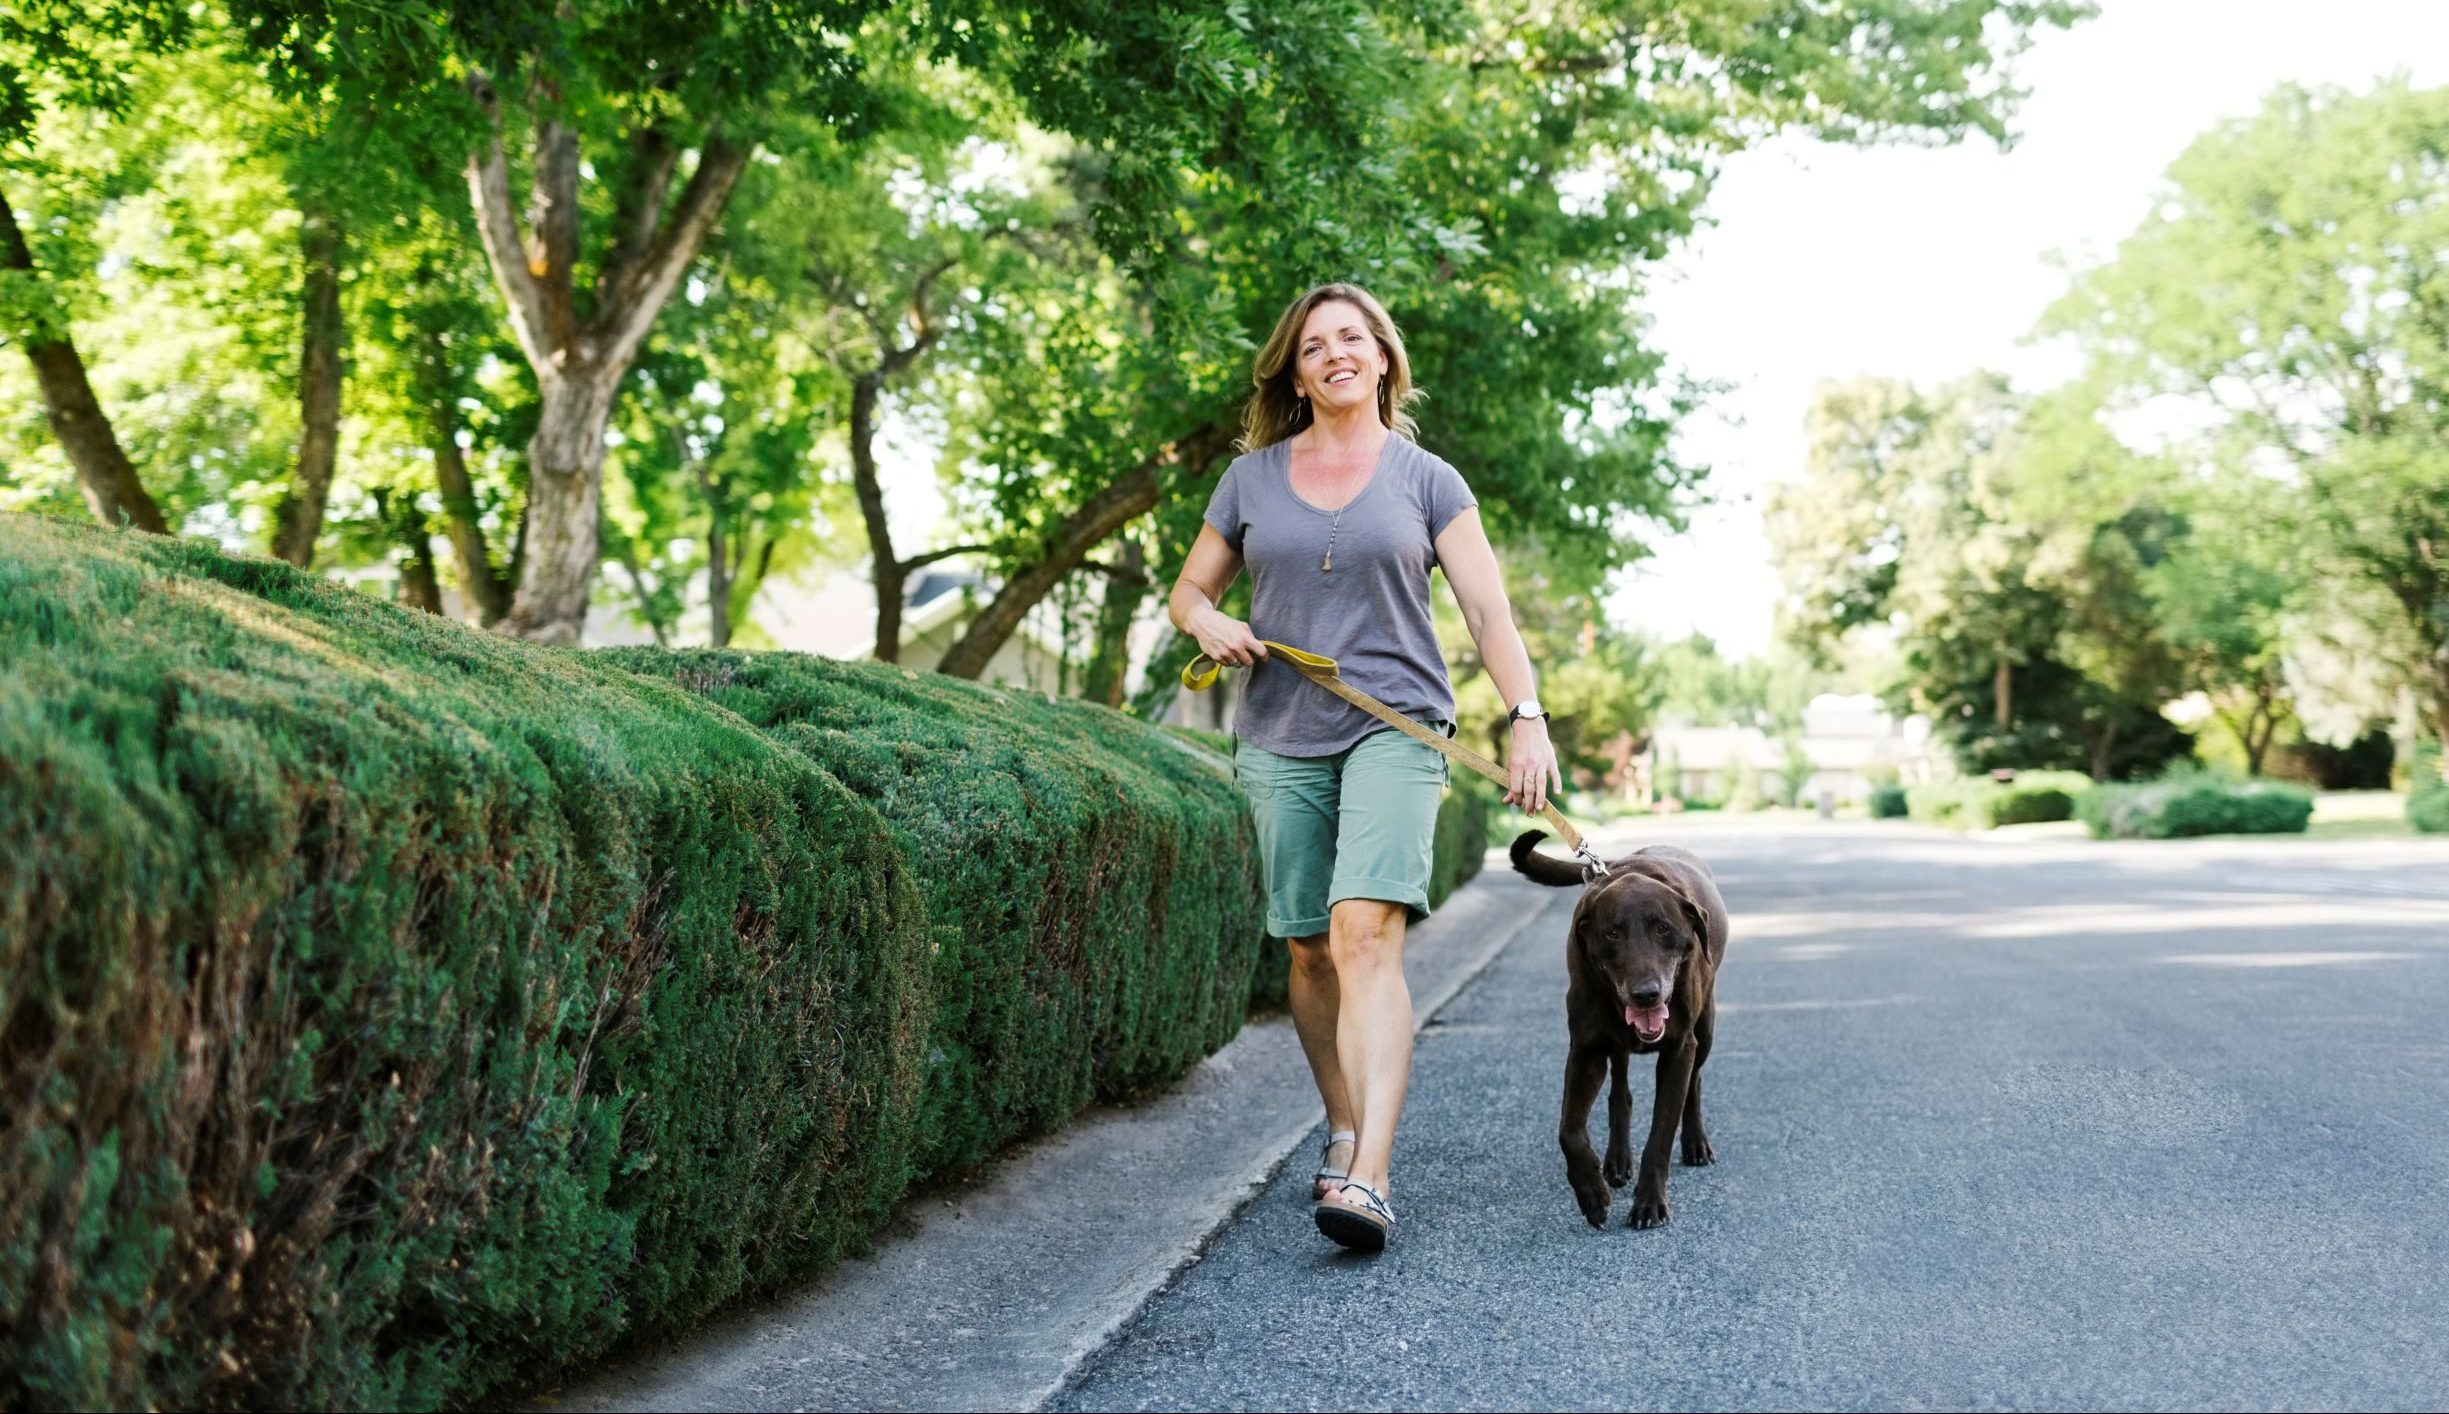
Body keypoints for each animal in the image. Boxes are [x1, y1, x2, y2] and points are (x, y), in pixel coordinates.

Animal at [1498, 828, 1733, 1225]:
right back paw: (1618, 1160)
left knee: (1695, 1082)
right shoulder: (1586, 1050)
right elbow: (1569, 1130)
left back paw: (1695, 1142)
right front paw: (1591, 1191)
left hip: (1706, 1028)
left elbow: (1660, 1132)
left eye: (1663, 928)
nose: (1646, 994)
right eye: (1612, 934)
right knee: (1620, 1091)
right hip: (1617, 1043)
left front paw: (1650, 1203)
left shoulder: (1679, 1049)